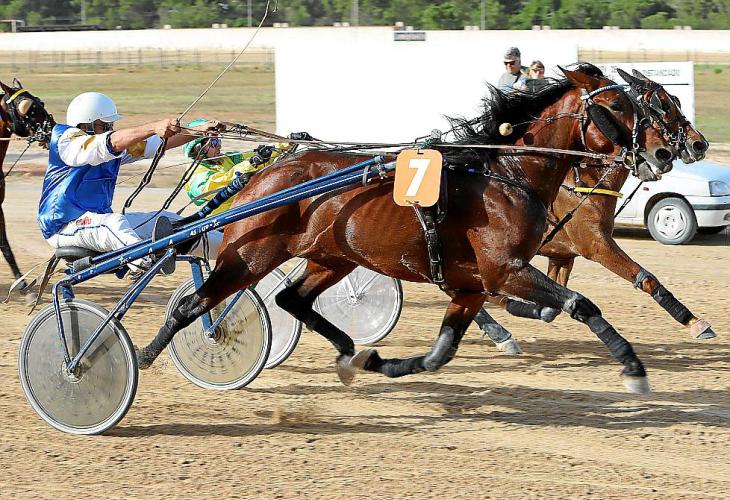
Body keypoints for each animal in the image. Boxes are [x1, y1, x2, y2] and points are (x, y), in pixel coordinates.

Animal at [136, 65, 674, 393]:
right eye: (618, 108)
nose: (661, 153)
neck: (507, 174)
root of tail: (259, 177)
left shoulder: (472, 285)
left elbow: (439, 353)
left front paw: (379, 363)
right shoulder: (504, 270)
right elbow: (581, 304)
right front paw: (633, 368)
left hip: (331, 257)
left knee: (292, 298)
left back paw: (349, 352)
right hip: (250, 254)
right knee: (193, 306)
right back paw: (143, 353)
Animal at [474, 68, 714, 352]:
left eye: (675, 100)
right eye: (664, 105)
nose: (699, 144)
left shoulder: (562, 255)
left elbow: (551, 305)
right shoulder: (596, 244)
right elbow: (646, 278)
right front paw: (696, 322)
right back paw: (500, 332)